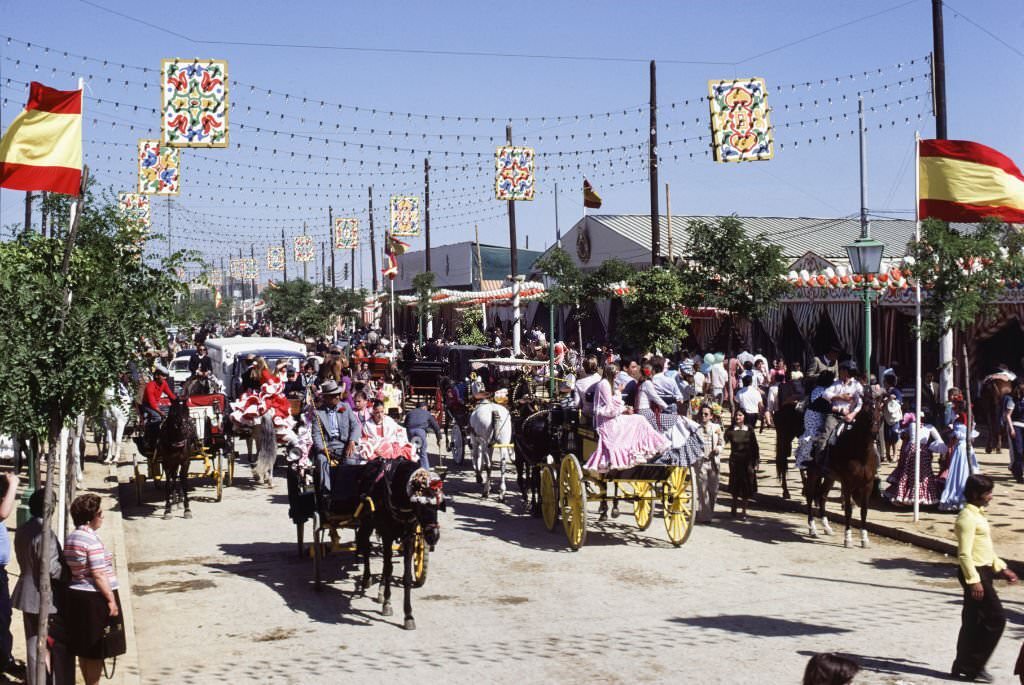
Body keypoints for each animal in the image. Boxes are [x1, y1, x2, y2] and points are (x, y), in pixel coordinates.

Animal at [798, 393, 880, 548]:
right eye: (866, 411)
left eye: (880, 409)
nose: (874, 433)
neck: (860, 453)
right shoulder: (847, 484)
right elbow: (848, 510)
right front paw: (848, 538)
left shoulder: (868, 484)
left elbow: (864, 510)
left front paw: (864, 539)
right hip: (813, 474)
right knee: (810, 497)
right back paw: (813, 529)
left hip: (829, 477)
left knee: (822, 496)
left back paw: (827, 527)